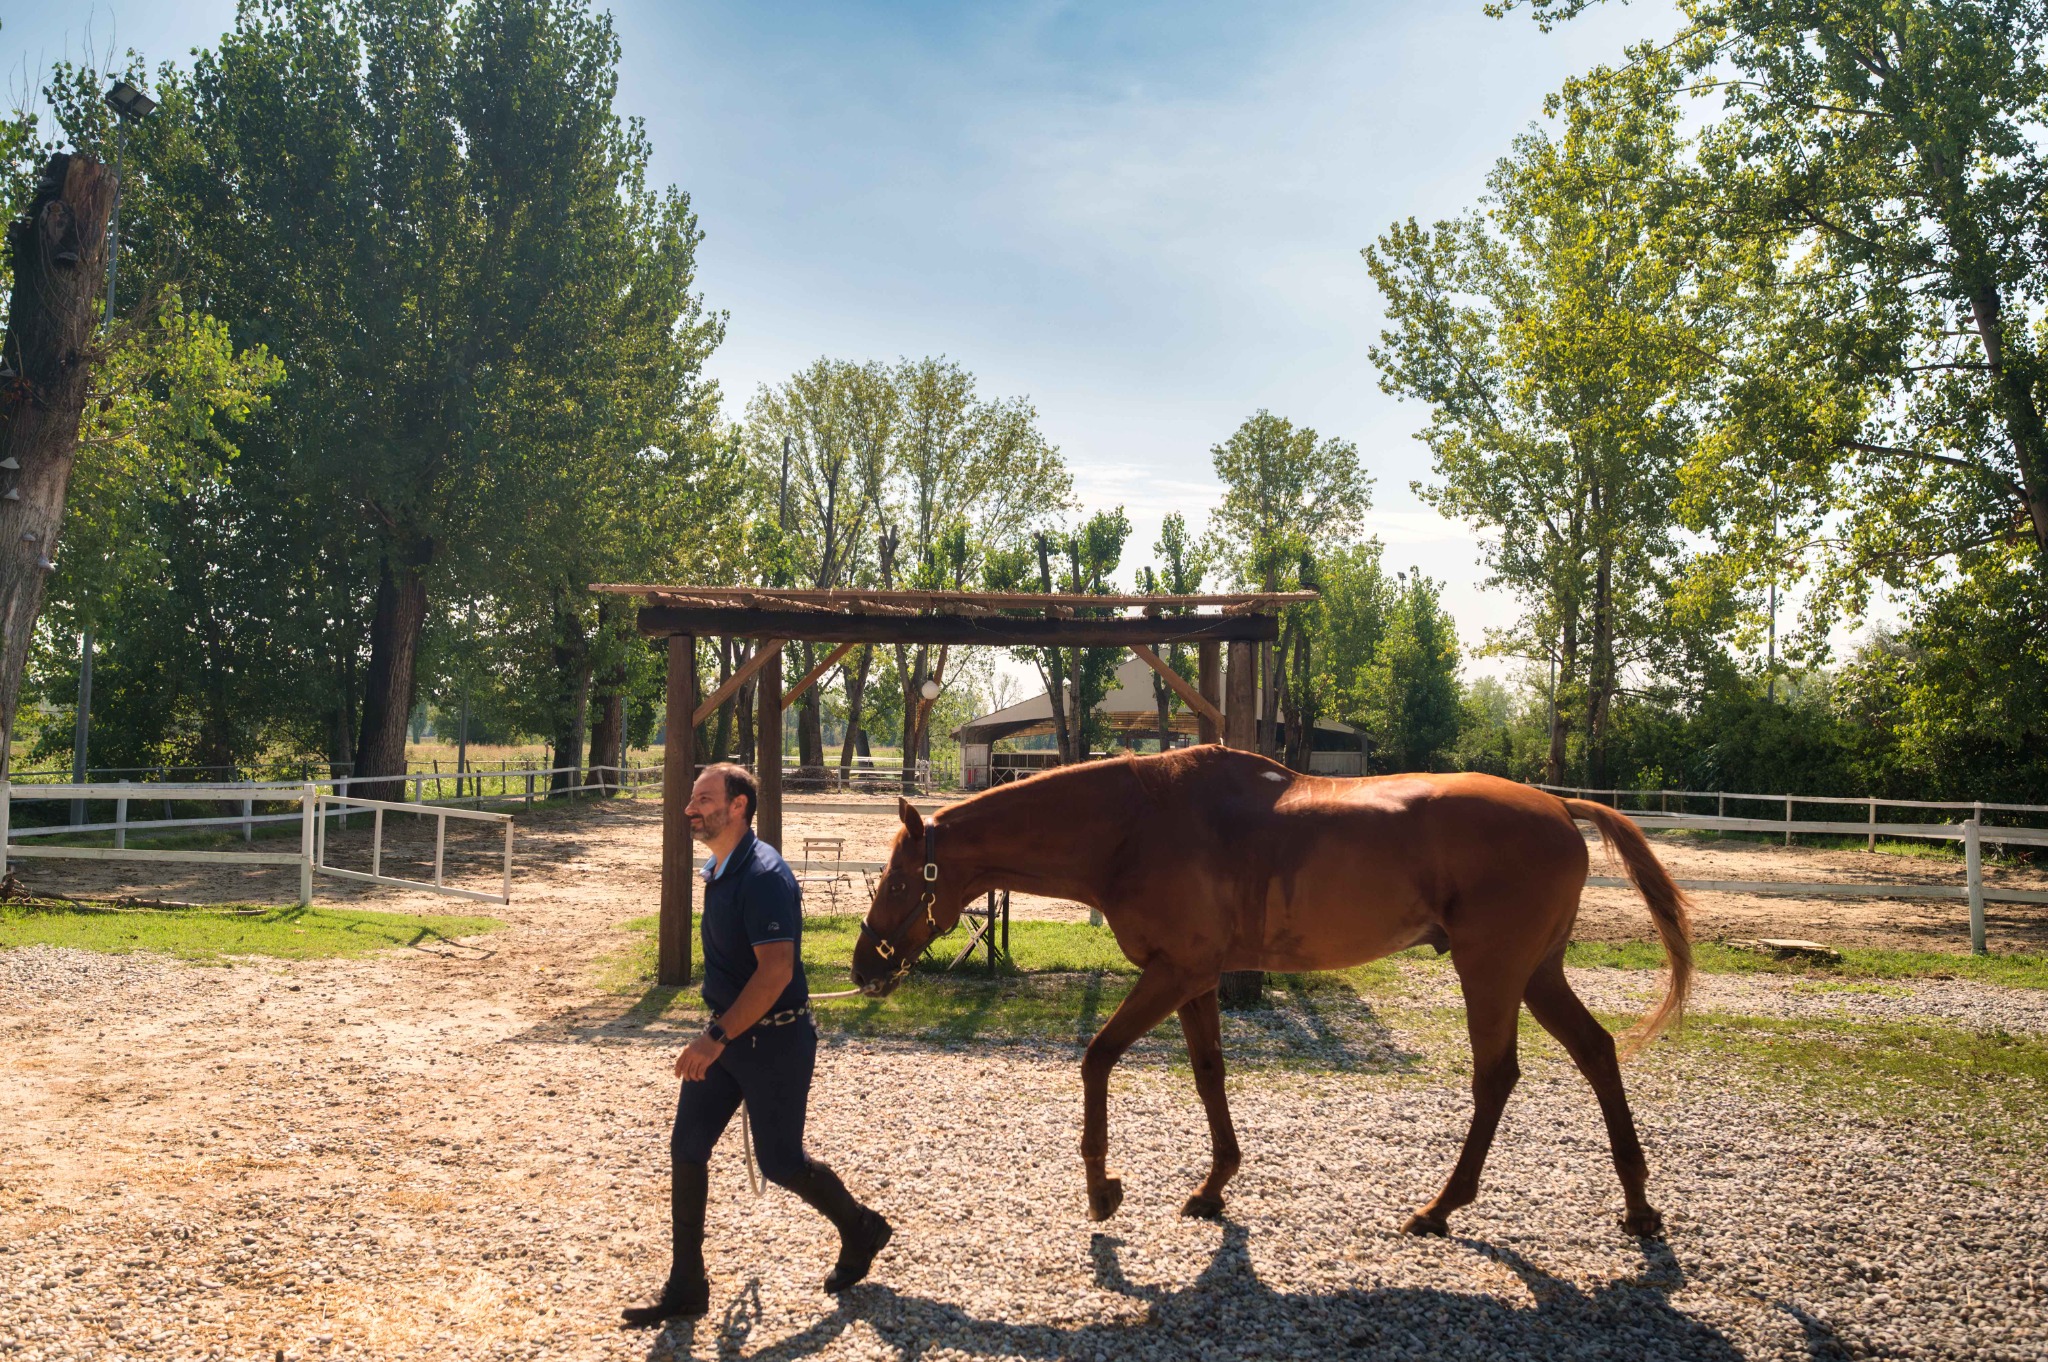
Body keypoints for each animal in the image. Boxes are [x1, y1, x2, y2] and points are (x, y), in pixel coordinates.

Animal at [848, 744, 1693, 1237]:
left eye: (898, 879)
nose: (864, 966)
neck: (1135, 824)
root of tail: (1559, 804)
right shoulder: (1195, 979)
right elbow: (1209, 1075)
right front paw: (1213, 1186)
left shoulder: (1173, 973)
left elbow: (1097, 1059)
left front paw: (1102, 1189)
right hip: (1537, 973)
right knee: (1596, 1052)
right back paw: (1638, 1205)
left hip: (1492, 972)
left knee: (1497, 1078)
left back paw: (1441, 1207)